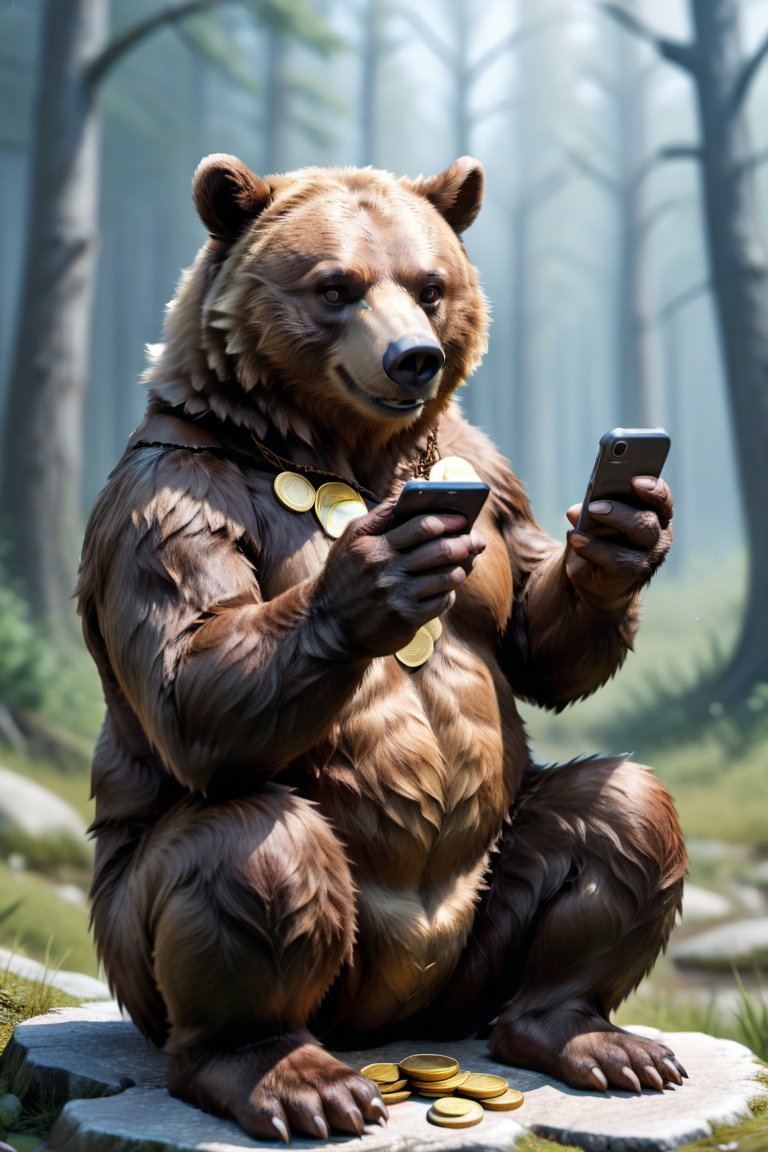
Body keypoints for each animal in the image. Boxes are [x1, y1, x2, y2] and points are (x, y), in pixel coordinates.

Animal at [76, 154, 688, 1143]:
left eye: (430, 286)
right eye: (336, 286)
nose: (416, 357)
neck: (342, 450)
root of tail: (397, 1020)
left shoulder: (485, 469)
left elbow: (535, 644)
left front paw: (617, 537)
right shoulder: (172, 494)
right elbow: (192, 679)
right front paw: (373, 576)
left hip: (487, 923)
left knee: (621, 813)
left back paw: (590, 1035)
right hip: (146, 945)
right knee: (251, 846)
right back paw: (286, 1074)